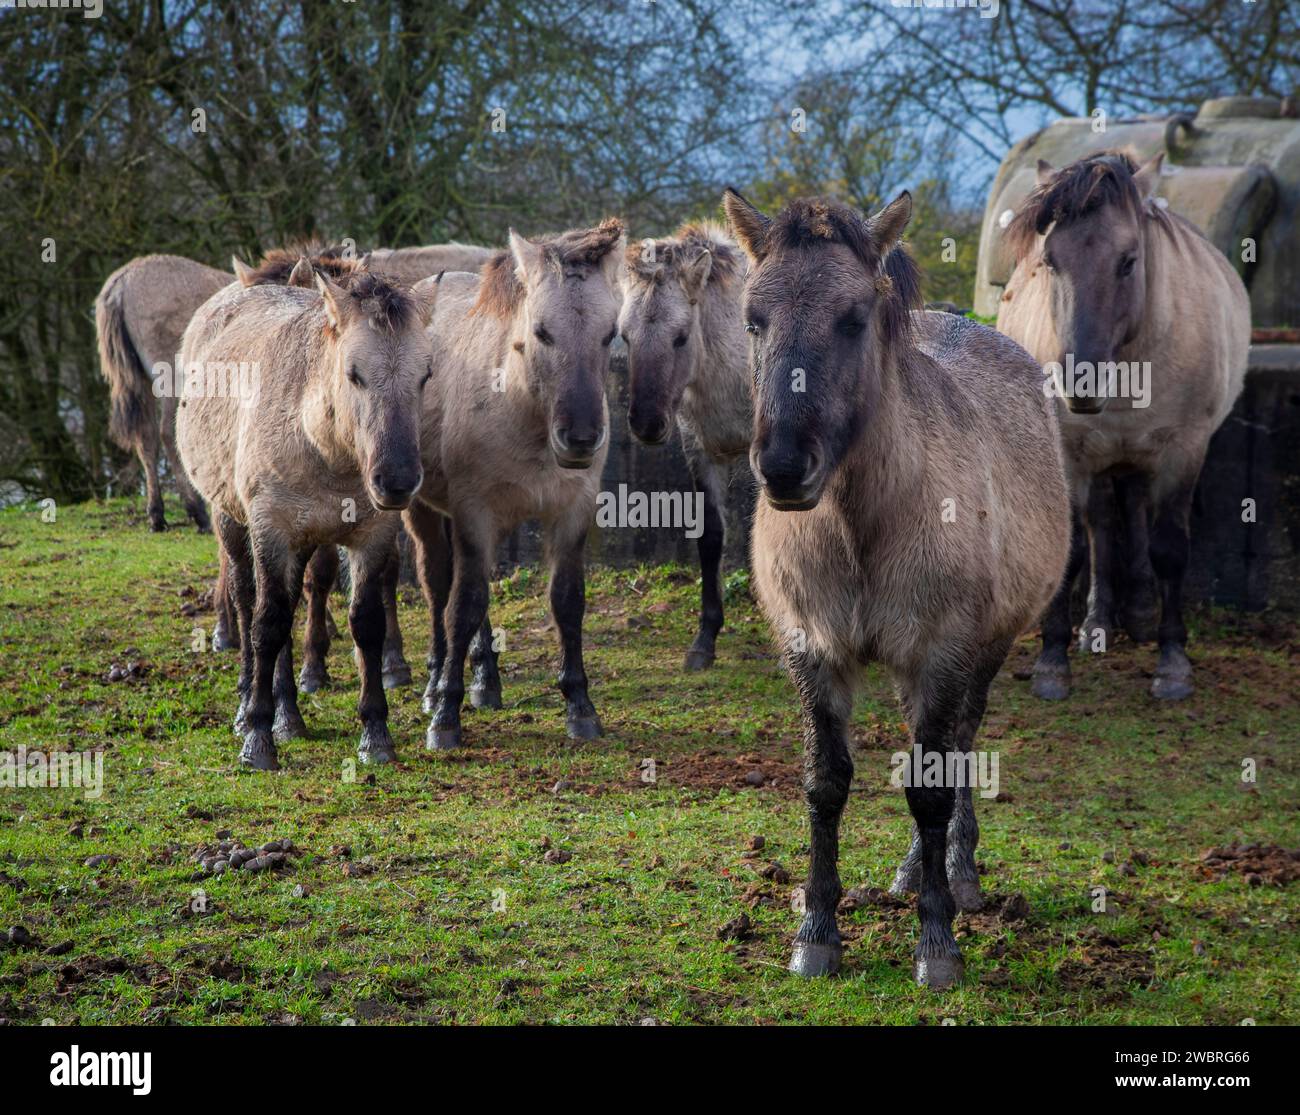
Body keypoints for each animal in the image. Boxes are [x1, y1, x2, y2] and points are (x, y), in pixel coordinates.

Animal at [177, 259, 438, 769]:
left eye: (425, 375)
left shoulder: (371, 535)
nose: (397, 480)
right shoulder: (272, 532)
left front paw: (375, 734)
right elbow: (268, 623)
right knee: (248, 601)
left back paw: (289, 713)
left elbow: (365, 624)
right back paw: (252, 703)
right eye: (354, 374)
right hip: (233, 521)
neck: (321, 445)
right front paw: (258, 737)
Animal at [402, 219, 626, 750]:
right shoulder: (474, 514)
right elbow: (462, 606)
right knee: (439, 586)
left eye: (610, 333)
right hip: (424, 512)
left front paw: (580, 705)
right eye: (542, 331)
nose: (580, 438)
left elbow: (566, 601)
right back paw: (435, 684)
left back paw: (486, 680)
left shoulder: (571, 513)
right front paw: (445, 716)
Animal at [618, 223, 752, 669]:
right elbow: (710, 537)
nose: (646, 423)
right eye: (624, 336)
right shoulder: (702, 451)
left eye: (680, 337)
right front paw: (704, 639)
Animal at [722, 188, 1070, 987]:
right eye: (754, 317)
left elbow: (931, 784)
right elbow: (826, 782)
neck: (862, 525)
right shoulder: (812, 649)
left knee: (960, 745)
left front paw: (937, 941)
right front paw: (817, 933)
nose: (783, 465)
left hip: (985, 646)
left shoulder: (941, 651)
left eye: (853, 317)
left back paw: (954, 872)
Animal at [999, 151, 1250, 701]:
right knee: (1103, 522)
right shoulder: (1070, 453)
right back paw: (1098, 622)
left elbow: (1169, 549)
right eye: (1050, 261)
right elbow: (1074, 548)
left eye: (1129, 261)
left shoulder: (1183, 451)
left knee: (1132, 508)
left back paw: (1136, 615)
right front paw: (1053, 661)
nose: (1080, 382)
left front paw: (1173, 663)